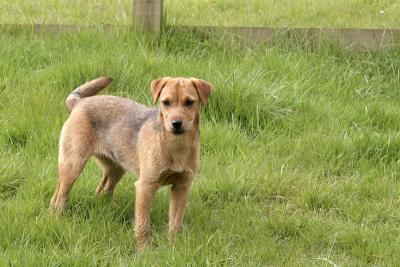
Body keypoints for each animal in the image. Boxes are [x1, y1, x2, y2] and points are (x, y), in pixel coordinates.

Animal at [49, 77, 212, 251]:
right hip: (73, 165)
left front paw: (173, 246)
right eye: (166, 102)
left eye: (189, 102)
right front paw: (144, 251)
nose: (176, 123)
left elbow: (175, 223)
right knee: (59, 198)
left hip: (115, 169)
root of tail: (78, 103)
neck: (175, 146)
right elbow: (143, 225)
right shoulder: (145, 187)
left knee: (100, 191)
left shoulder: (181, 187)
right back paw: (57, 220)